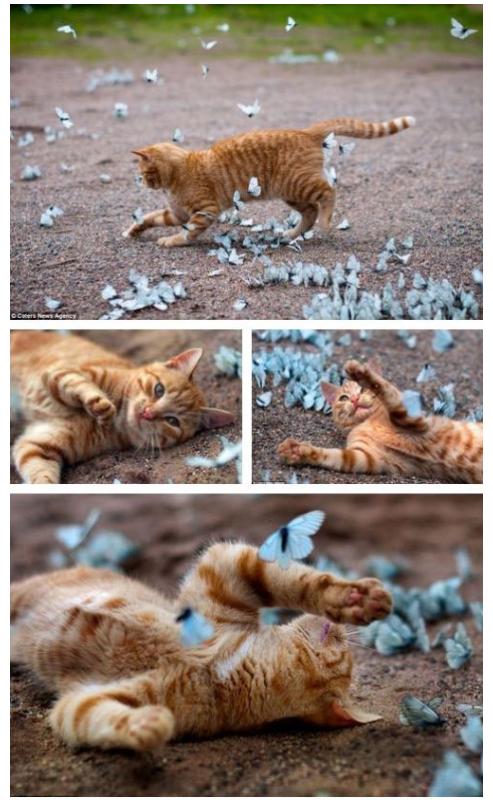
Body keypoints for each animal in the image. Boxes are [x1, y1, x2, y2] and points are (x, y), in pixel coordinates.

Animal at [10, 332, 234, 484]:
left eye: (172, 421)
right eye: (159, 390)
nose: (147, 413)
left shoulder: (39, 445)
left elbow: (41, 474)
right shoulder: (59, 371)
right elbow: (79, 383)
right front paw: (100, 405)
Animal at [10, 540, 392, 752]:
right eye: (344, 647)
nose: (340, 630)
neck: (219, 669)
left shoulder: (83, 699)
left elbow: (93, 717)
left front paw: (144, 726)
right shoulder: (223, 571)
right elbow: (295, 580)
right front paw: (353, 598)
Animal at [124, 112, 416, 245]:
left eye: (143, 172)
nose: (140, 181)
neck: (179, 172)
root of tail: (305, 132)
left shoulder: (204, 211)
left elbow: (187, 233)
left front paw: (172, 241)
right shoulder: (177, 214)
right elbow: (149, 218)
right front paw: (134, 230)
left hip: (300, 184)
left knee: (328, 194)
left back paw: (325, 221)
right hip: (291, 194)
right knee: (309, 212)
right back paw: (292, 234)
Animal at [278, 358, 482, 484]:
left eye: (361, 390)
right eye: (344, 398)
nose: (354, 399)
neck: (369, 422)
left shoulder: (415, 420)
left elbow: (384, 388)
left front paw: (362, 374)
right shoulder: (367, 457)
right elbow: (333, 456)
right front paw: (298, 451)